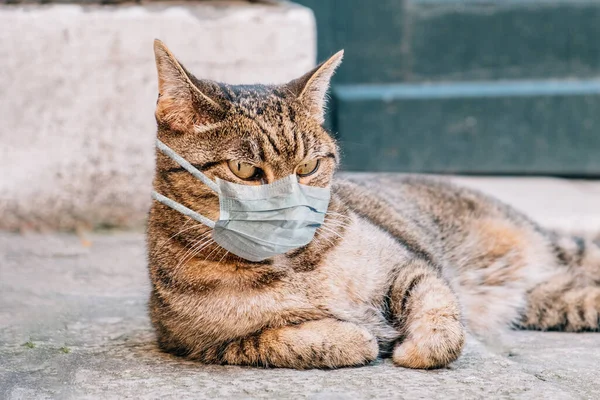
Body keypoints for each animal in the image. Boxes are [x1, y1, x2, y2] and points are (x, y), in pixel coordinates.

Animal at [148, 40, 600, 368]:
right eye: (244, 169)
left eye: (309, 166)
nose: (292, 209)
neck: (293, 265)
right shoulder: (197, 342)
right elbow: (286, 340)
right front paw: (356, 336)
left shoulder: (410, 265)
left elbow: (441, 315)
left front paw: (417, 349)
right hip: (552, 298)